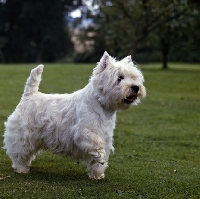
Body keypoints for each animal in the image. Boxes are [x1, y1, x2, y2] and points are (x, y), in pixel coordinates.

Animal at [2, 51, 146, 179]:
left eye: (134, 77)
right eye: (119, 78)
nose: (135, 87)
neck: (102, 106)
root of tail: (29, 95)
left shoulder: (105, 136)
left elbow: (98, 161)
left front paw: (97, 174)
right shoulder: (83, 132)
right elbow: (97, 145)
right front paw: (100, 156)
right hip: (23, 135)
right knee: (19, 152)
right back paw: (21, 169)